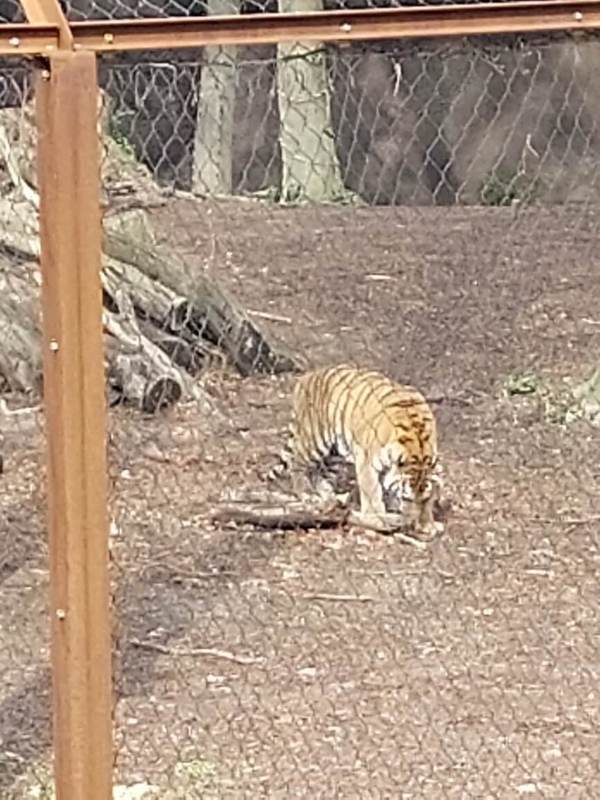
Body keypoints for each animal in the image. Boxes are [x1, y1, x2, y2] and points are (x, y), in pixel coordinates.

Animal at [272, 364, 442, 535]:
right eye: (407, 498)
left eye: (424, 499)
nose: (412, 524)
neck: (417, 443)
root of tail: (306, 376)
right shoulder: (366, 460)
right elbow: (371, 492)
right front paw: (377, 518)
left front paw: (427, 524)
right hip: (314, 439)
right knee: (296, 464)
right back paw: (307, 493)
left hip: (335, 453)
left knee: (321, 476)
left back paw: (330, 498)